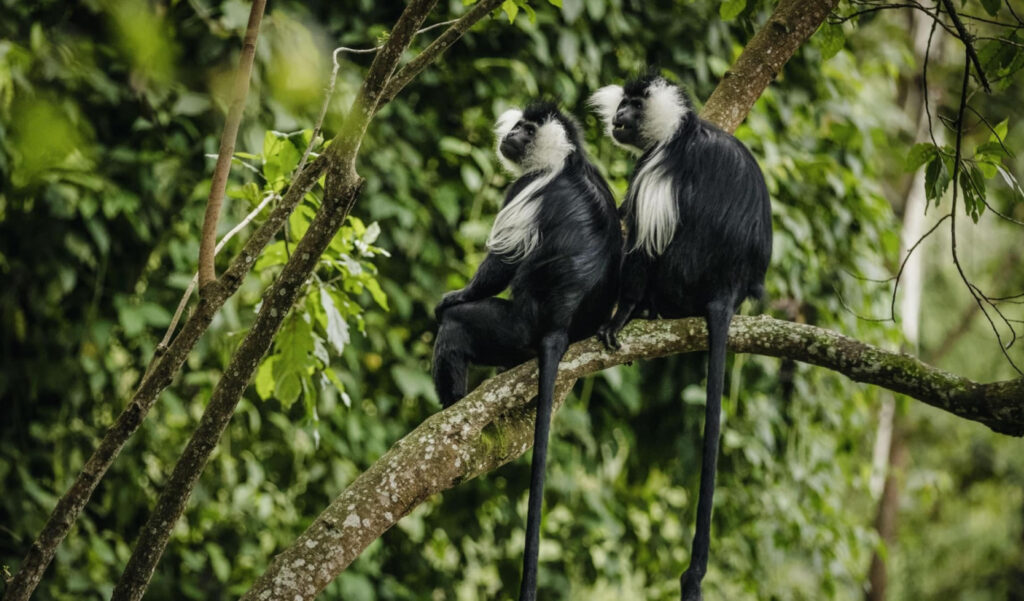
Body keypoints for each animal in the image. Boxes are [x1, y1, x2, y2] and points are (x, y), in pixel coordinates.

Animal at [432, 101, 622, 601]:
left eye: (527, 129)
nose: (511, 134)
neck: (566, 160)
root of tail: (557, 326)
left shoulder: (526, 189)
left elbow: (500, 264)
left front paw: (454, 296)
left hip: (512, 328)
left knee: (459, 329)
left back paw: (451, 405)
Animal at [589, 72, 772, 601]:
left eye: (632, 106)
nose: (618, 117)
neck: (679, 130)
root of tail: (726, 288)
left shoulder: (657, 168)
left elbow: (642, 247)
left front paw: (620, 317)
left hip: (680, 276)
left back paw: (644, 309)